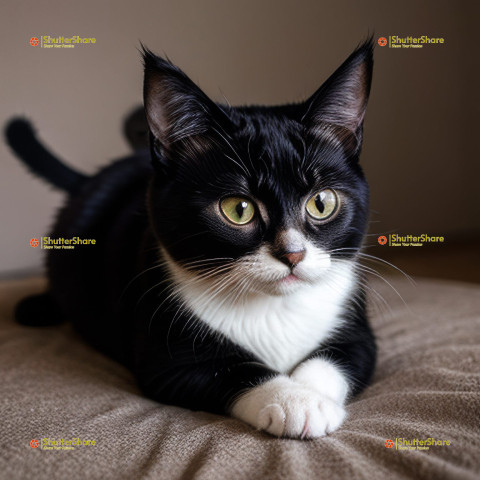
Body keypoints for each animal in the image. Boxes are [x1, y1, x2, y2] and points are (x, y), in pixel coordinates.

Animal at [5, 39, 376, 438]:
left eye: (321, 203)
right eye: (238, 209)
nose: (292, 255)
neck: (272, 309)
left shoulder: (358, 330)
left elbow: (338, 358)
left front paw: (311, 397)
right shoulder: (165, 355)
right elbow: (232, 369)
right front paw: (296, 402)